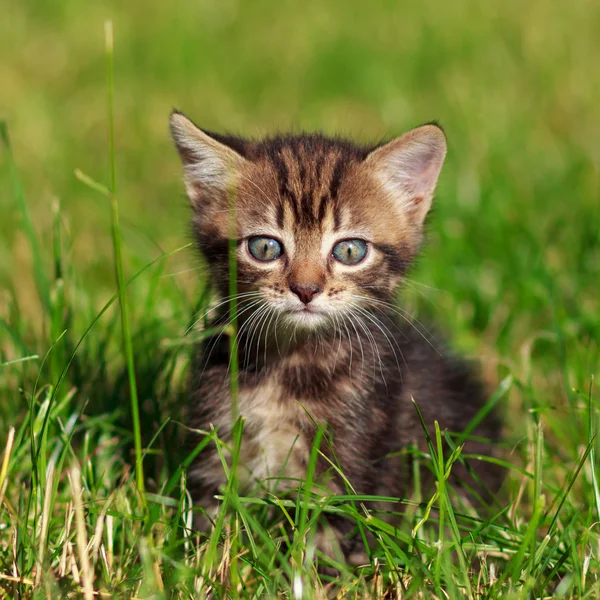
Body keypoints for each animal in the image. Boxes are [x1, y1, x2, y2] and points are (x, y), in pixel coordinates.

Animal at [169, 111, 502, 556]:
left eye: (349, 251)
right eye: (264, 248)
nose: (306, 289)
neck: (290, 363)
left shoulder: (353, 456)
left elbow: (328, 538)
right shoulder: (216, 439)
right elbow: (210, 519)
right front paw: (196, 560)